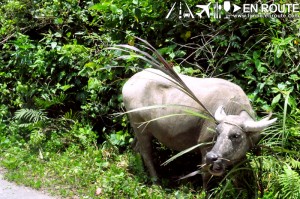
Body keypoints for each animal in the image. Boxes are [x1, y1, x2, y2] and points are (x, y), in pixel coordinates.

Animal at [122, 68, 276, 190]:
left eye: (236, 135)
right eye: (217, 132)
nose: (212, 158)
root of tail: (128, 83)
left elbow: (237, 174)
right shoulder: (204, 146)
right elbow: (205, 175)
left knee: (135, 148)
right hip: (140, 127)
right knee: (146, 152)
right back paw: (156, 182)